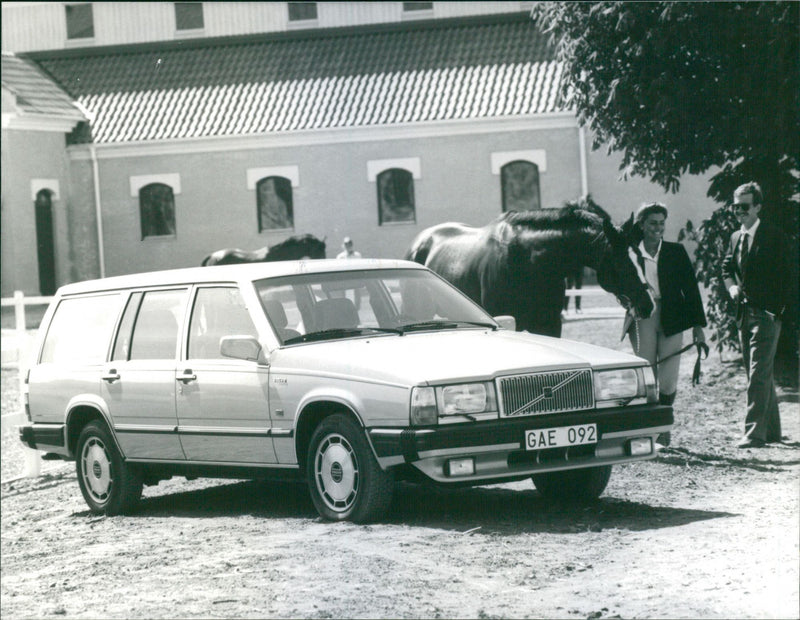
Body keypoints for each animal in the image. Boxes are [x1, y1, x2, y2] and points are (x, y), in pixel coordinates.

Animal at [404, 196, 652, 336]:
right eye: (620, 263)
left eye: (641, 259)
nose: (648, 305)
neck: (529, 264)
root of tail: (419, 243)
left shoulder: (549, 325)